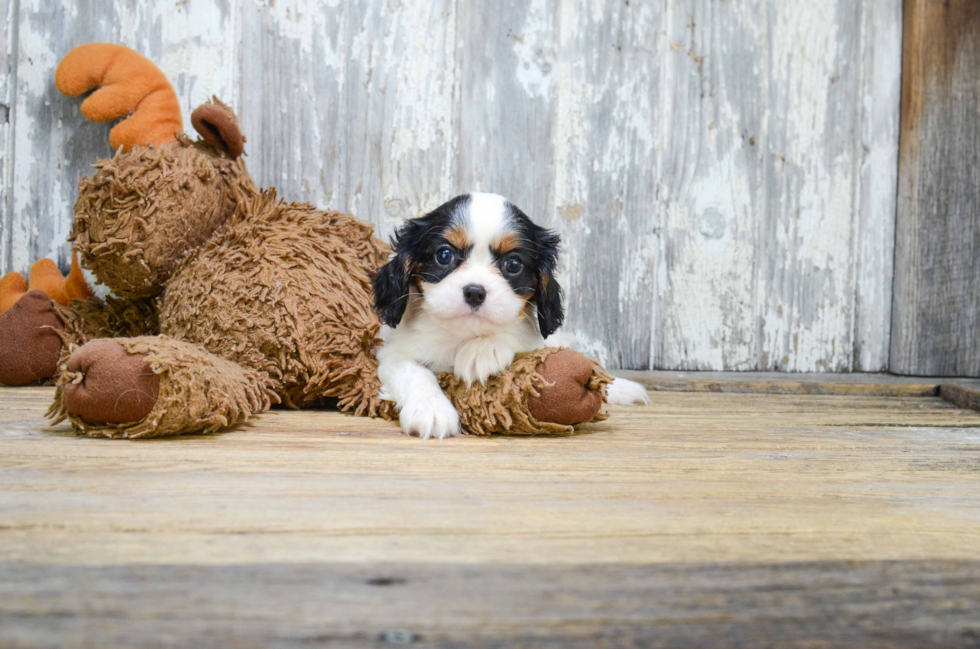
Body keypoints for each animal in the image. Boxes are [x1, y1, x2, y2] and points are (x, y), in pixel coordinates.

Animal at [376, 190, 652, 438]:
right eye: (444, 255)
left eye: (513, 264)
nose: (474, 292)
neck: (463, 335)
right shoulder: (392, 353)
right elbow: (414, 372)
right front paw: (431, 410)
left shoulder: (534, 339)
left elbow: (516, 333)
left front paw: (483, 351)